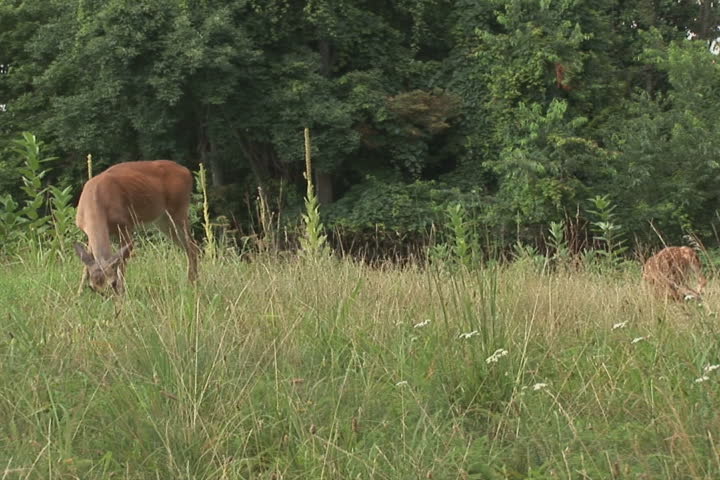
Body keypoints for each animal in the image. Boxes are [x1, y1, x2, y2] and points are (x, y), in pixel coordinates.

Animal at [74, 160, 198, 295]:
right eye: (92, 287)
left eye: (112, 283)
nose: (107, 297)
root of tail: (186, 170)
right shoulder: (88, 233)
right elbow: (86, 267)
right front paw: (78, 294)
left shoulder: (125, 225)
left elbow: (121, 263)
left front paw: (122, 293)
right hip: (163, 221)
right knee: (189, 247)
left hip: (179, 210)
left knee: (193, 246)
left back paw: (193, 284)